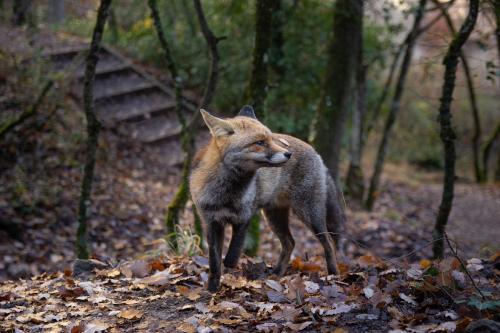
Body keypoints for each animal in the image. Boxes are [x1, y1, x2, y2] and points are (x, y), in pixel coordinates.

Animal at [189, 105, 346, 290]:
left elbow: (232, 254)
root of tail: (315, 152)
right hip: (274, 217)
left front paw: (230, 271)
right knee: (290, 242)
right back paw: (277, 273)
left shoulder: (244, 218)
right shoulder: (212, 223)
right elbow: (214, 263)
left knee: (328, 242)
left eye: (271, 139)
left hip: (309, 215)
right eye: (259, 142)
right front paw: (212, 289)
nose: (288, 153)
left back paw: (334, 274)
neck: (225, 195)